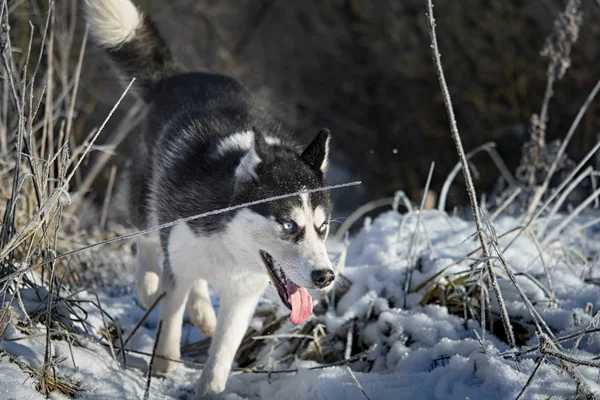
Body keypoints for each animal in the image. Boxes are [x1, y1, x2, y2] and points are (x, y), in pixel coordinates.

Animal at [84, 0, 338, 396]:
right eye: (287, 225)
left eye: (322, 227)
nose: (325, 276)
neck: (231, 242)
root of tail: (180, 76)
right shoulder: (180, 259)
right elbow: (170, 318)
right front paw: (164, 364)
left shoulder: (242, 296)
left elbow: (221, 356)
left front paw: (210, 388)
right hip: (147, 203)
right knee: (147, 240)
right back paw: (148, 284)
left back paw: (203, 310)